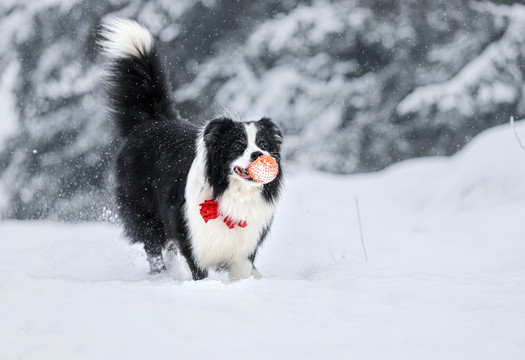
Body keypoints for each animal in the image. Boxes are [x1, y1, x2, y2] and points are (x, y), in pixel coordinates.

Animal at [100, 17, 284, 282]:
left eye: (265, 145)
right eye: (238, 145)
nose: (259, 155)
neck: (231, 193)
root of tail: (153, 121)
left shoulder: (242, 249)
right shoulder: (192, 237)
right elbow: (198, 271)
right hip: (146, 211)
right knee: (154, 248)